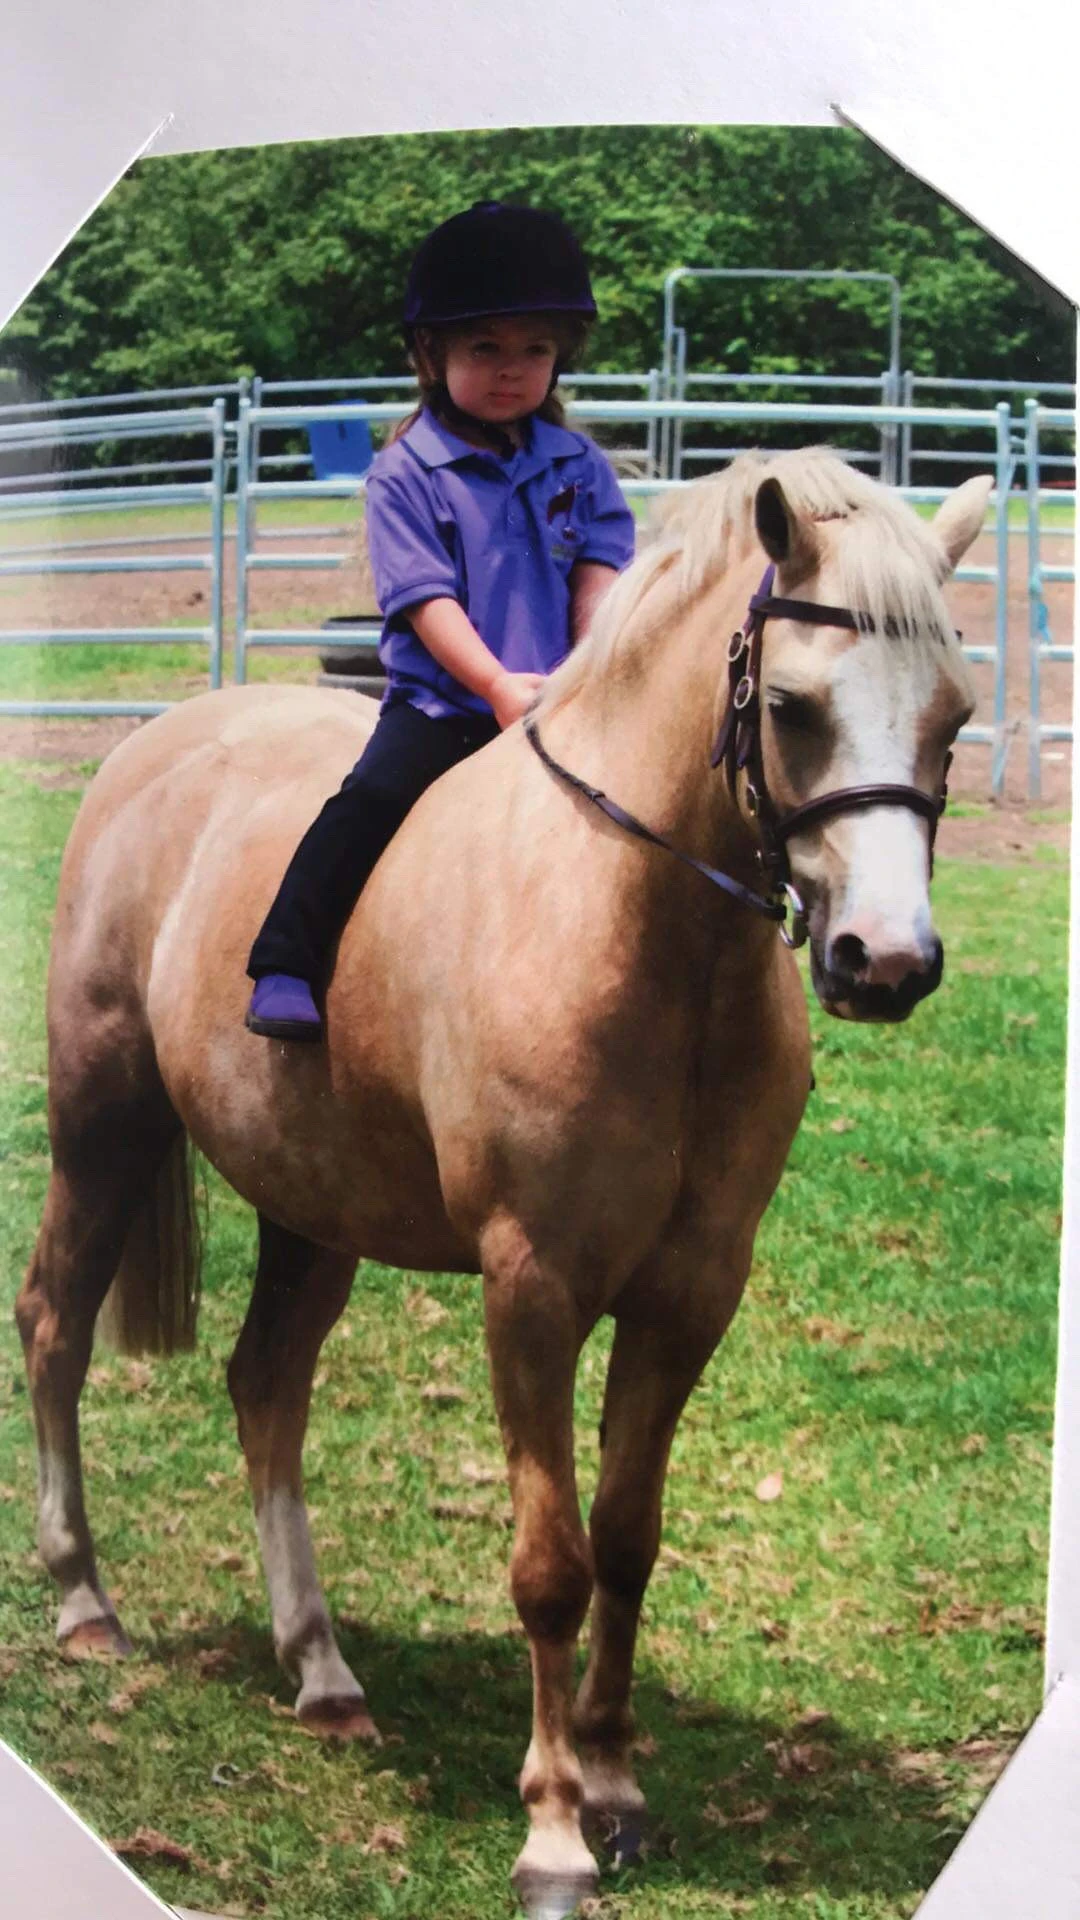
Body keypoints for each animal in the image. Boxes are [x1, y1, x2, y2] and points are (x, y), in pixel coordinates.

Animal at [15, 447, 988, 1919]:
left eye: (954, 715)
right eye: (798, 708)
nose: (886, 961)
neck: (637, 937)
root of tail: (152, 746)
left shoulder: (690, 1294)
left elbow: (629, 1537)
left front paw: (620, 1788)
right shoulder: (531, 1287)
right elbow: (549, 1564)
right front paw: (554, 1832)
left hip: (313, 1206)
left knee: (266, 1384)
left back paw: (321, 1671)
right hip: (104, 1120)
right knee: (57, 1327)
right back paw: (84, 1603)